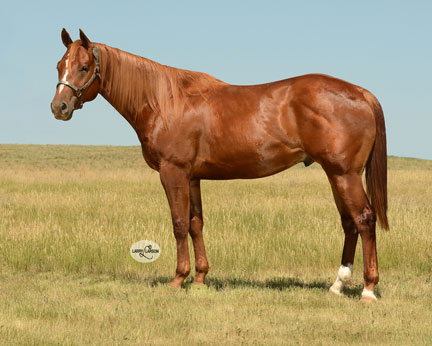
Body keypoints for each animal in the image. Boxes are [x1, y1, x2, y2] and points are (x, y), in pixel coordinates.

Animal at [52, 28, 390, 302]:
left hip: (344, 174)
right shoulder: (191, 177)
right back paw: (337, 285)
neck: (165, 102)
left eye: (84, 67)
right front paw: (200, 278)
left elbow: (178, 224)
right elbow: (195, 224)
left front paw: (178, 279)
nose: (59, 107)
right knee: (349, 223)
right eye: (59, 65)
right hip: (336, 174)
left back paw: (368, 289)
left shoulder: (173, 172)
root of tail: (361, 94)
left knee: (364, 219)